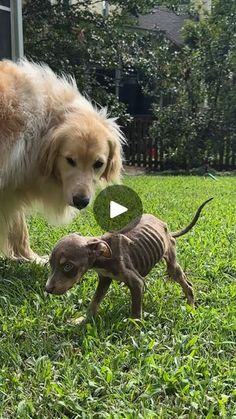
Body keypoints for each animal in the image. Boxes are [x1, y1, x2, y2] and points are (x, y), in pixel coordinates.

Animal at [45, 199, 212, 320]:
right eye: (50, 265)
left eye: (67, 266)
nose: (47, 289)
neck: (103, 256)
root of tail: (165, 226)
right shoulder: (104, 279)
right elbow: (94, 302)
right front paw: (84, 320)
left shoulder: (136, 283)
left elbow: (136, 312)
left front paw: (135, 332)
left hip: (171, 262)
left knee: (187, 285)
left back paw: (191, 306)